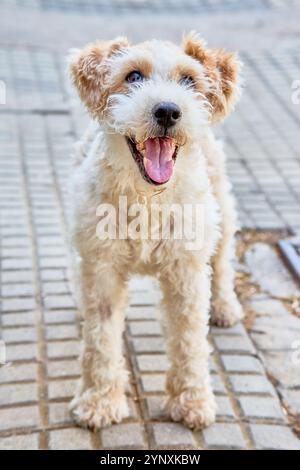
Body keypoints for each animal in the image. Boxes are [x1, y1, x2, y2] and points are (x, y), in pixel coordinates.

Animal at [68, 32, 244, 430]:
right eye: (133, 76)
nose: (167, 111)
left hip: (222, 213)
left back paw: (225, 307)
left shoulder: (187, 273)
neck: (147, 200)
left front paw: (192, 401)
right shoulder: (102, 267)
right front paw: (100, 401)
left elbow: (190, 341)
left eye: (189, 80)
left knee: (223, 262)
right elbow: (101, 340)